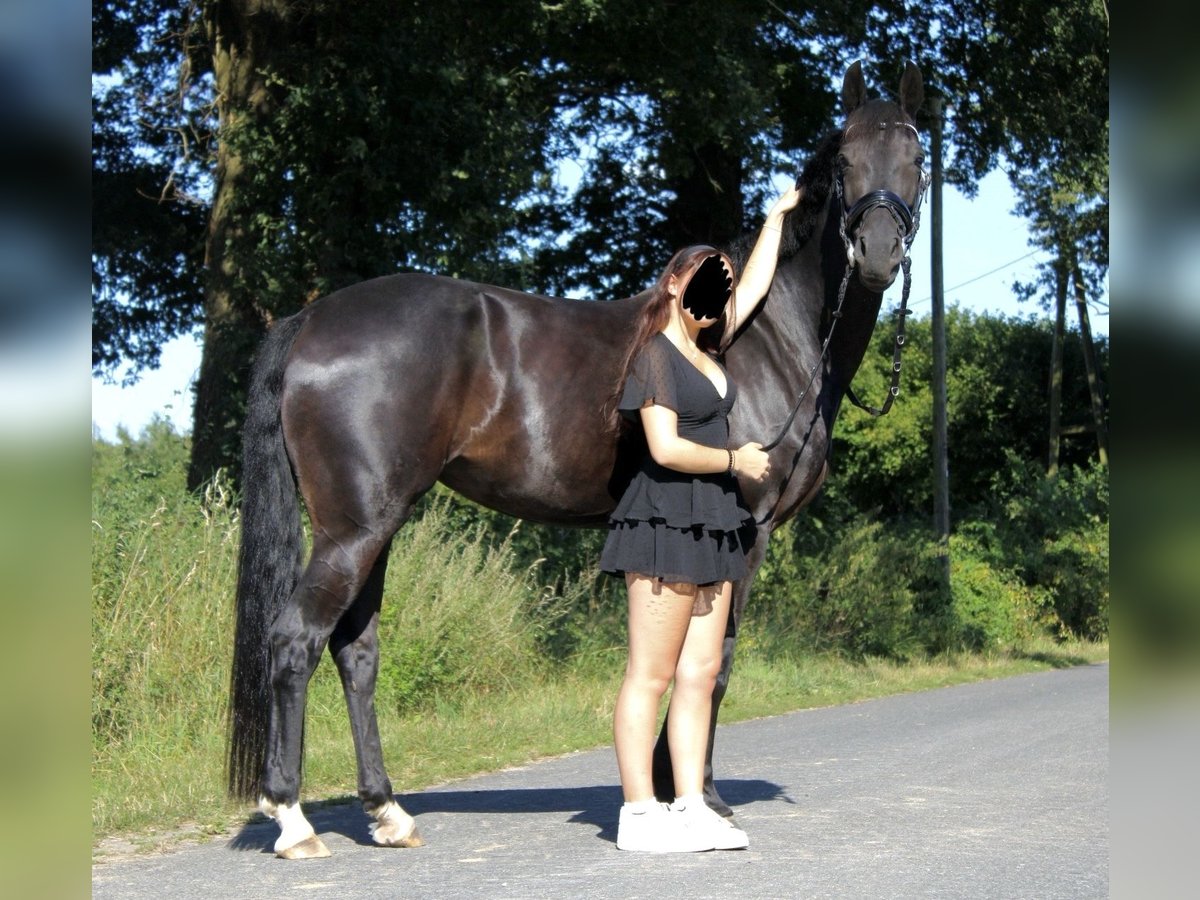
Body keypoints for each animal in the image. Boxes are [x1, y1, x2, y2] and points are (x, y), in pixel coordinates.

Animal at [231, 60, 926, 854]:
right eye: (843, 162)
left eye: (916, 156)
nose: (877, 253)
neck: (766, 337)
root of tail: (314, 318)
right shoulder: (747, 530)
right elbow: (713, 665)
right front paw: (701, 796)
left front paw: (672, 787)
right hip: (353, 530)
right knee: (296, 642)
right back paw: (292, 819)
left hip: (373, 527)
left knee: (356, 651)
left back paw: (387, 811)